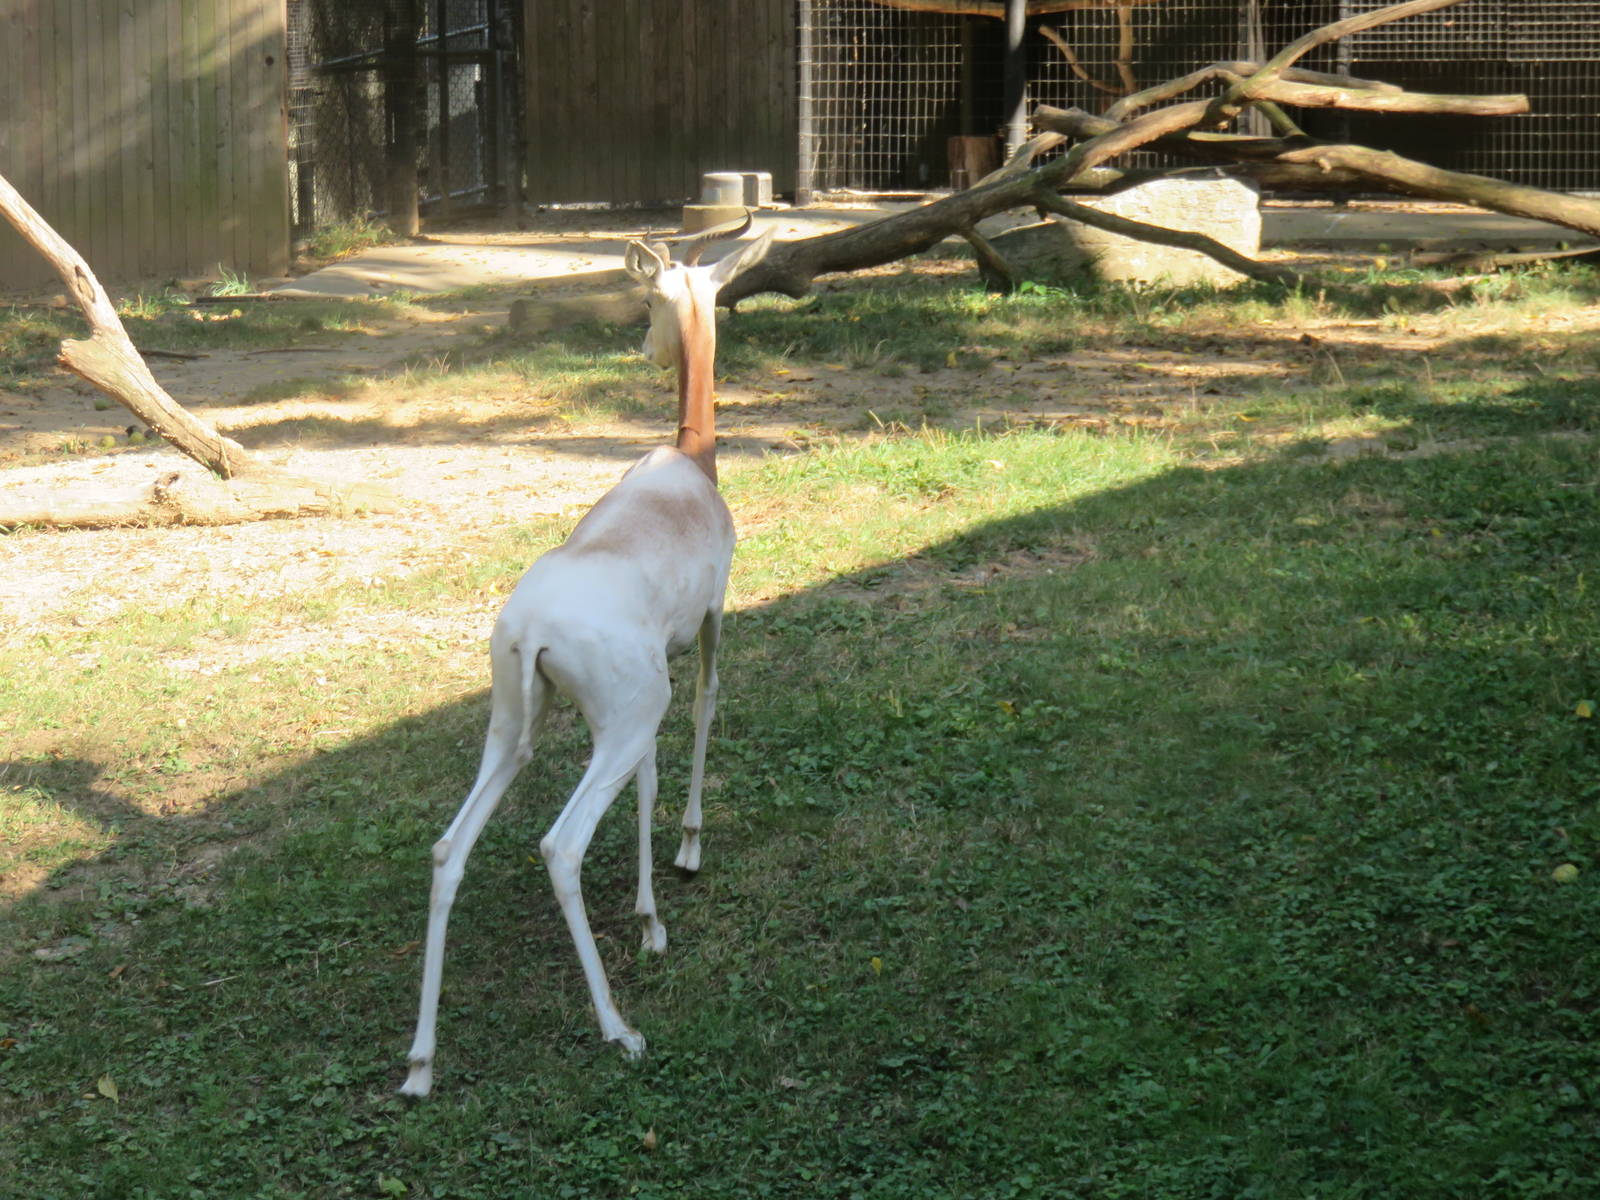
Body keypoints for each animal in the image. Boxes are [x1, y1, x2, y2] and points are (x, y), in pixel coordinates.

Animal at [399, 217, 774, 1097]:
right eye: (650, 298)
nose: (644, 346)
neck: (689, 462)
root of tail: (532, 623)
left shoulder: (649, 683)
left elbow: (648, 782)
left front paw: (649, 917)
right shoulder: (710, 624)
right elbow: (706, 709)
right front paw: (685, 858)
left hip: (515, 728)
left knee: (447, 849)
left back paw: (422, 1063)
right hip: (620, 722)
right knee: (559, 847)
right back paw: (618, 1028)